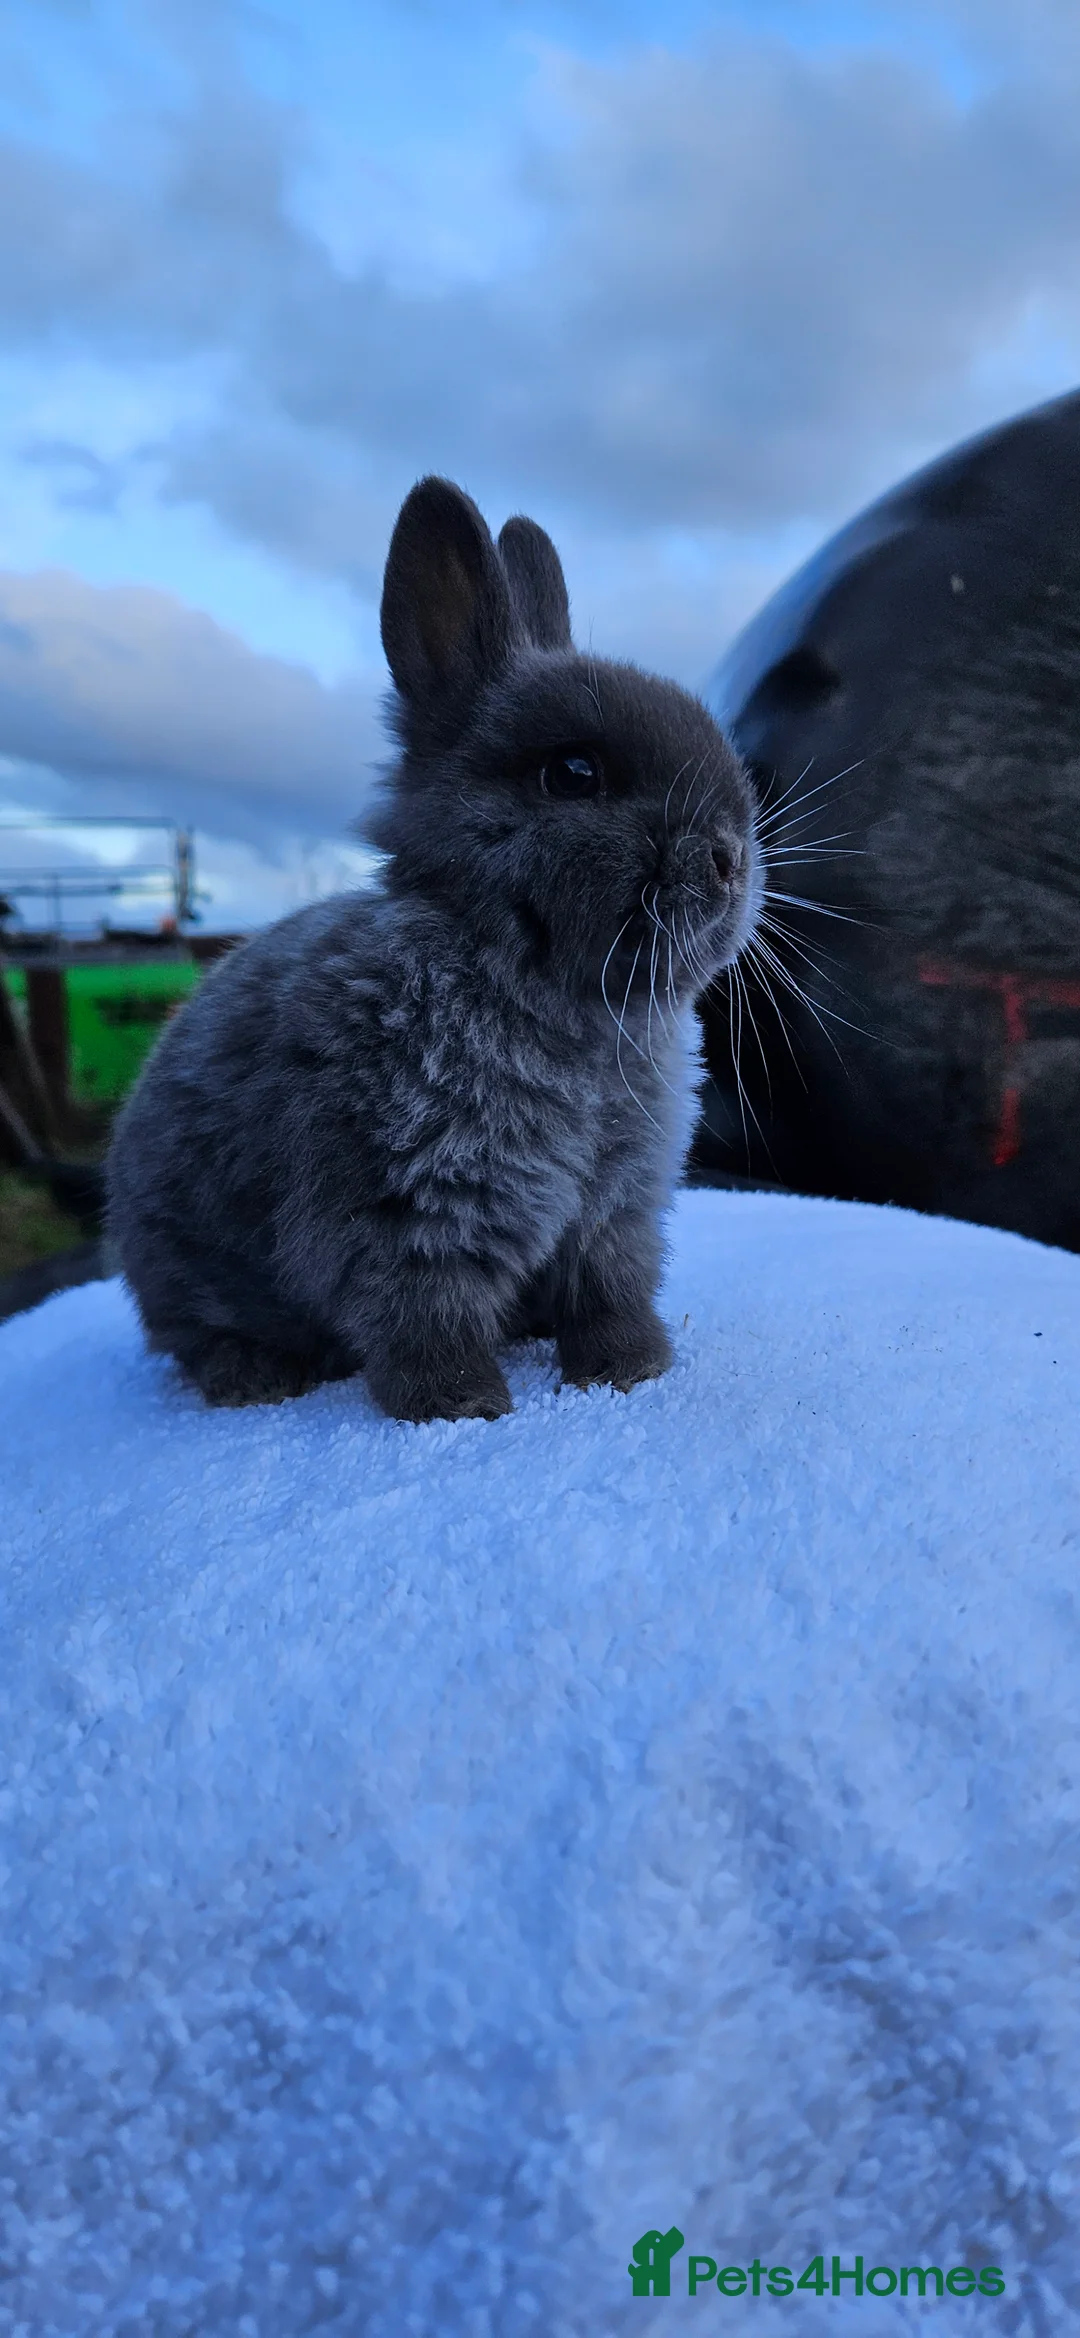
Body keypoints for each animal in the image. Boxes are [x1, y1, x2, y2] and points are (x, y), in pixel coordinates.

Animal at [107, 478, 761, 1422]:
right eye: (574, 774)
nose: (731, 858)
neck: (546, 992)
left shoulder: (615, 1213)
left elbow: (609, 1295)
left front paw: (630, 1370)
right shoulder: (404, 1205)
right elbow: (423, 1315)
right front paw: (465, 1406)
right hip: (181, 1265)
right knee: (191, 1339)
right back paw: (255, 1378)